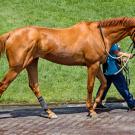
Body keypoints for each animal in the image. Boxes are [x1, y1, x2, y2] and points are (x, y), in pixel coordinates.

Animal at [0, 16, 135, 118]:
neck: (99, 35)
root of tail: (10, 34)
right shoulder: (92, 64)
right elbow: (90, 86)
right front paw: (91, 110)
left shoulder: (96, 65)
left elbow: (104, 82)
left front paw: (95, 106)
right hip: (16, 67)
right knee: (3, 85)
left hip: (31, 62)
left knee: (34, 85)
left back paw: (49, 113)